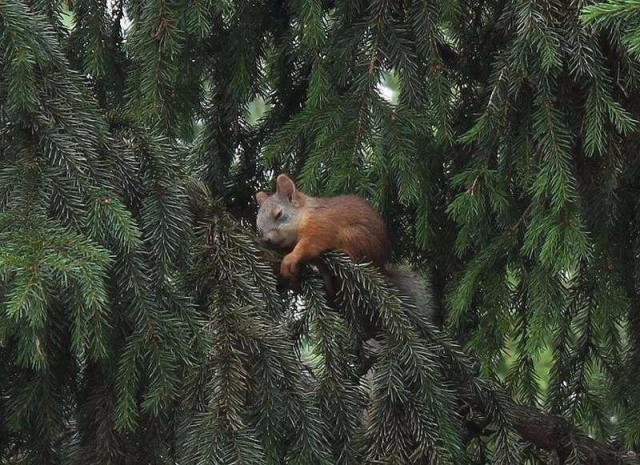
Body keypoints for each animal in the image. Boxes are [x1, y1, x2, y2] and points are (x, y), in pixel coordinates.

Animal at [254, 172, 430, 320]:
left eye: (278, 214)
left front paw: (291, 258)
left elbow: (311, 243)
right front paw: (295, 276)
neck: (305, 215)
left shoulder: (321, 225)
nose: (266, 240)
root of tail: (380, 265)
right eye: (258, 226)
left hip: (355, 238)